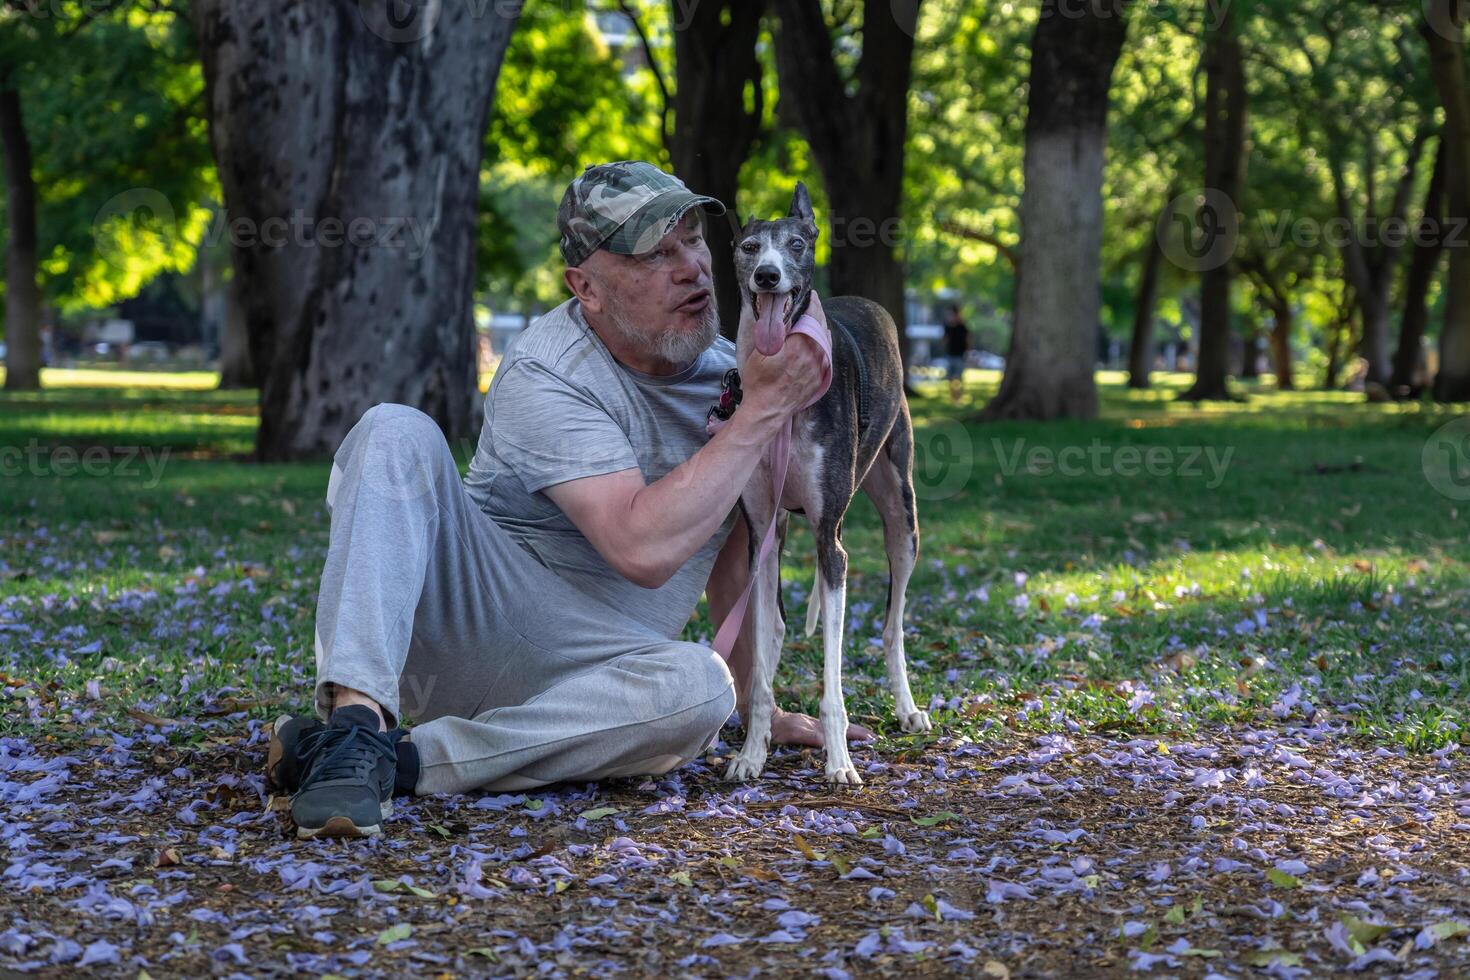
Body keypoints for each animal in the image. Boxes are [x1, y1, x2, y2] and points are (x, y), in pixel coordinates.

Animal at [720, 182, 929, 781]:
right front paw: (751, 754)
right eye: (748, 246)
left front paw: (839, 762)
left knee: (892, 625)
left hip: (900, 516)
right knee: (778, 629)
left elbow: (834, 682)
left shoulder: (831, 542)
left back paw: (907, 708)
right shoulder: (761, 537)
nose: (767, 276)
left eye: (796, 244)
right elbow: (763, 661)